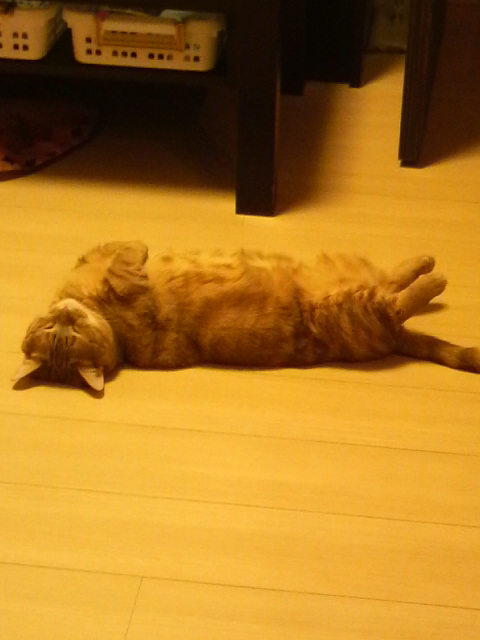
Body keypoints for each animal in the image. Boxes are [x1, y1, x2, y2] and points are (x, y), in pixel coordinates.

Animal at [13, 240, 480, 392]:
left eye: (57, 329)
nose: (66, 317)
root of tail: (397, 338)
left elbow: (118, 253)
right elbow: (126, 254)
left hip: (356, 274)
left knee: (394, 277)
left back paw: (424, 262)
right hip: (353, 306)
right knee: (396, 301)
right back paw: (434, 280)